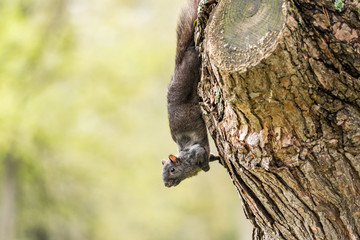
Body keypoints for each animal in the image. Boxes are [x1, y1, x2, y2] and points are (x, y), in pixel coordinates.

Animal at [161, 0, 219, 188]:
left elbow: (203, 156)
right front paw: (215, 158)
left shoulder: (196, 151)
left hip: (190, 67)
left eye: (172, 170)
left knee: (194, 53)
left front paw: (206, 167)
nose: (166, 184)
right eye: (162, 173)